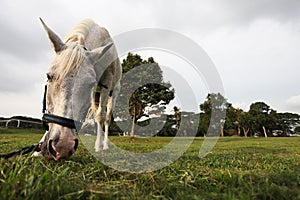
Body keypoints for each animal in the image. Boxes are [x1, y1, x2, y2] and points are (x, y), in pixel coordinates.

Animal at [33, 18, 121, 160]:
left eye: (90, 84)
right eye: (48, 76)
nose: (63, 145)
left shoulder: (106, 84)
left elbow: (101, 116)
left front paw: (99, 146)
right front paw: (39, 149)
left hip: (113, 92)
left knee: (106, 117)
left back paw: (104, 145)